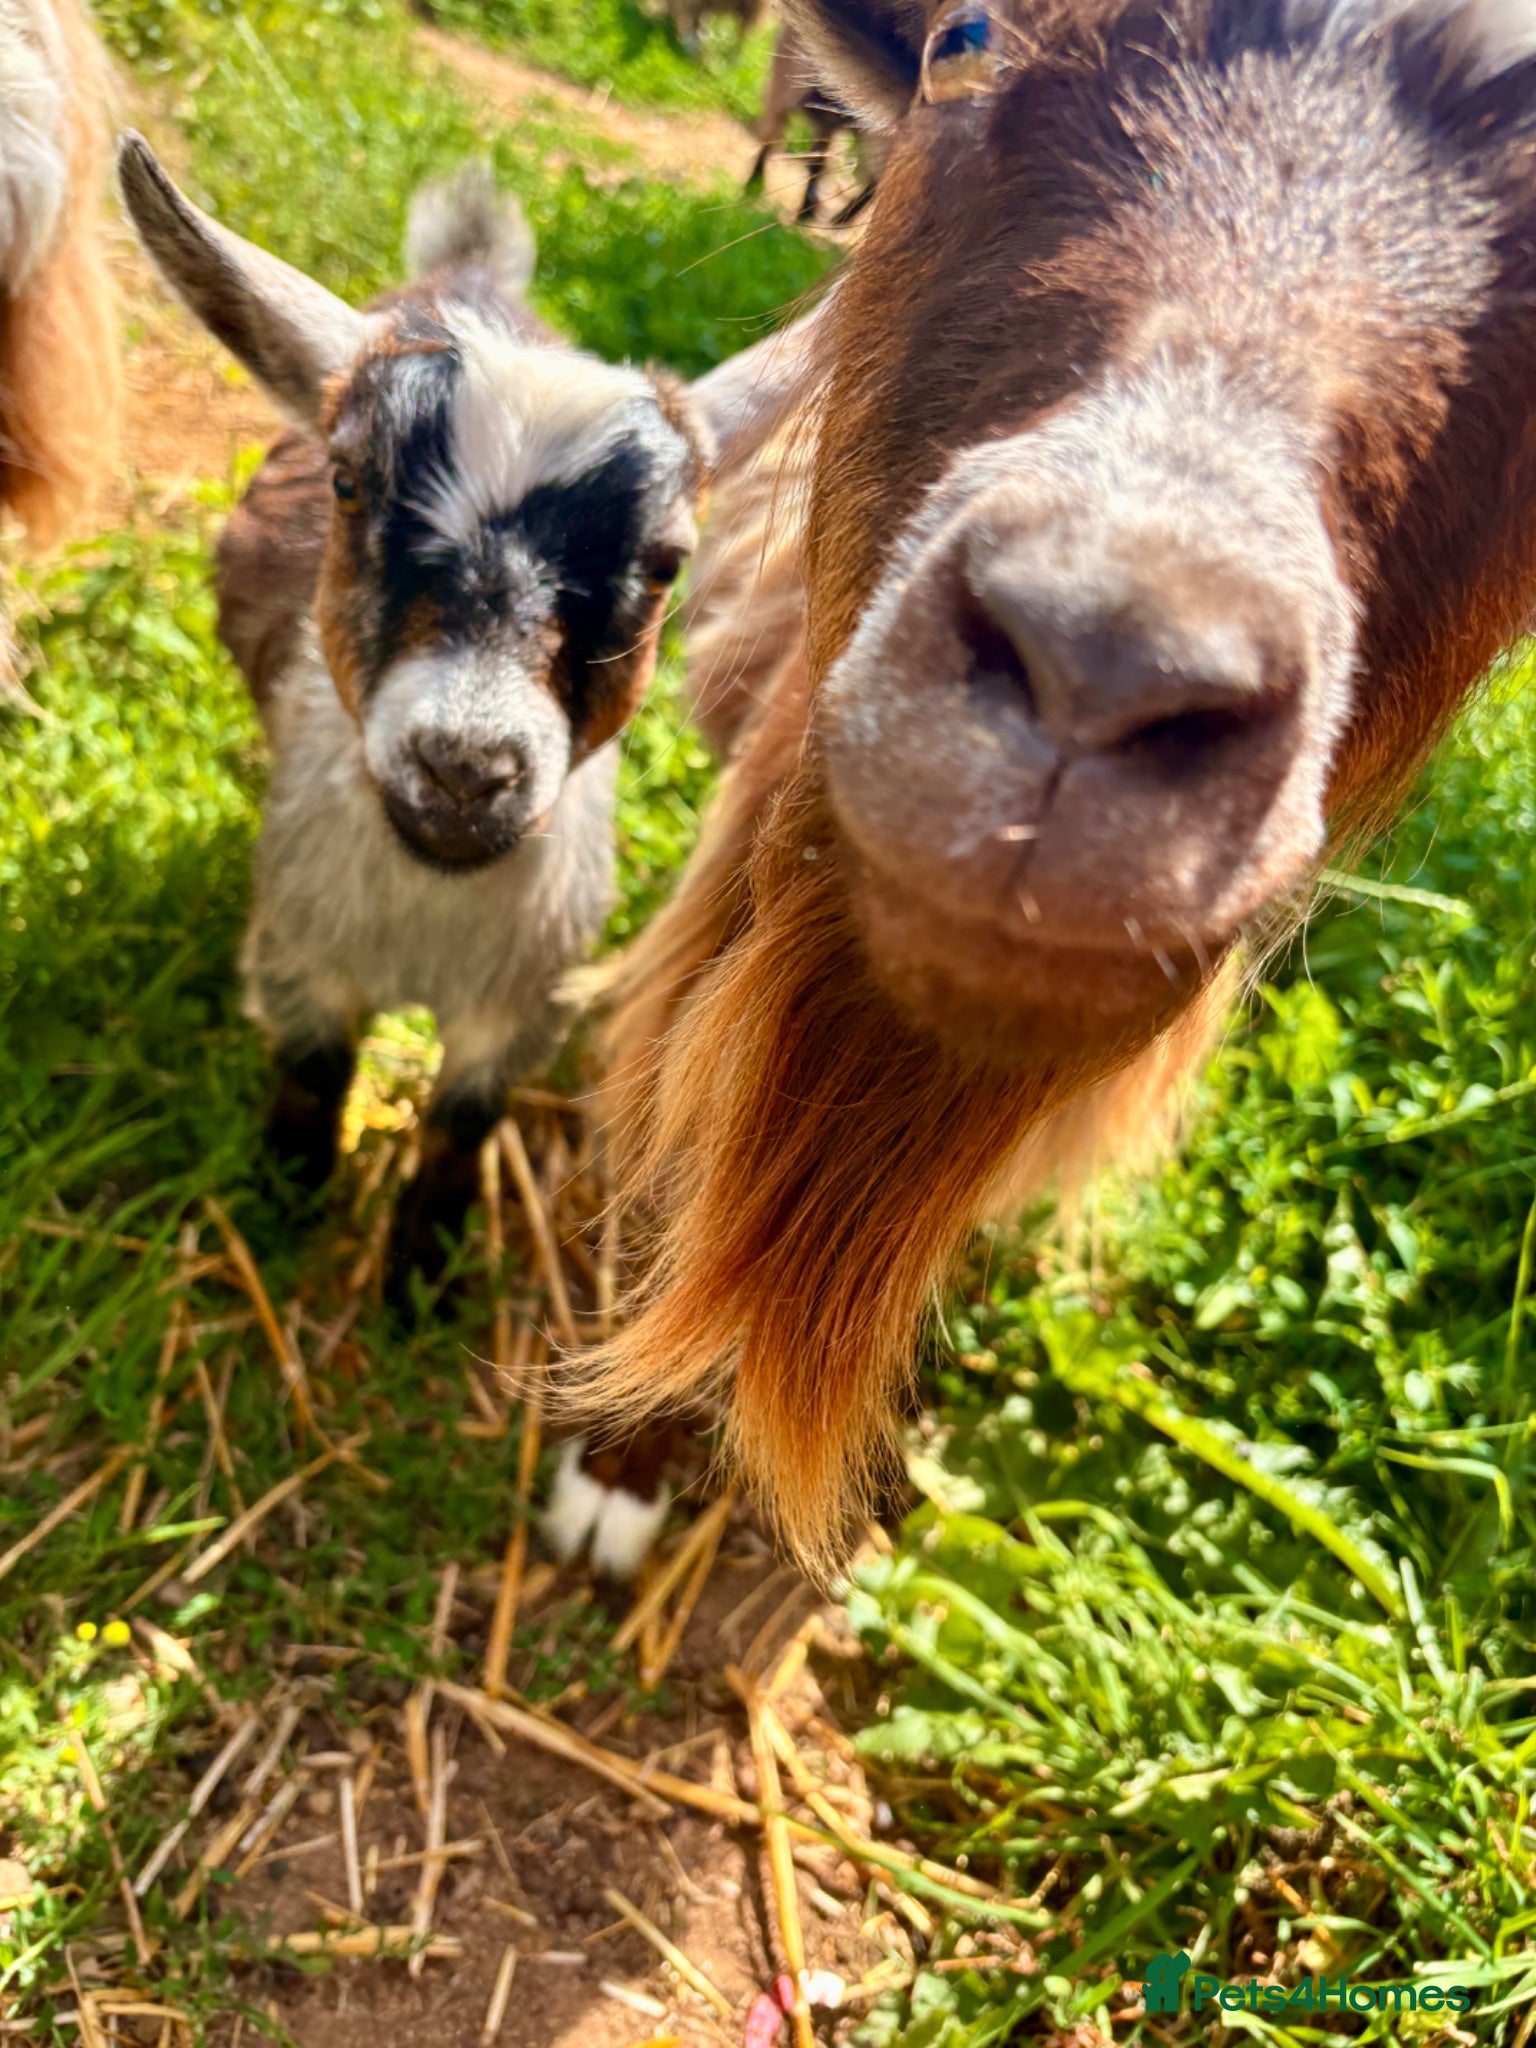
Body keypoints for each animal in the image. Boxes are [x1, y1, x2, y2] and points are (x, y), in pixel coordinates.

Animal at [116, 139, 706, 1288]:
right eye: (347, 482)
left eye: (665, 561)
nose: (464, 769)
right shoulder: (297, 947)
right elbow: (313, 1069)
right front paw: (285, 1208)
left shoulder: (524, 999)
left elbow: (463, 1120)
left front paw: (421, 1275)